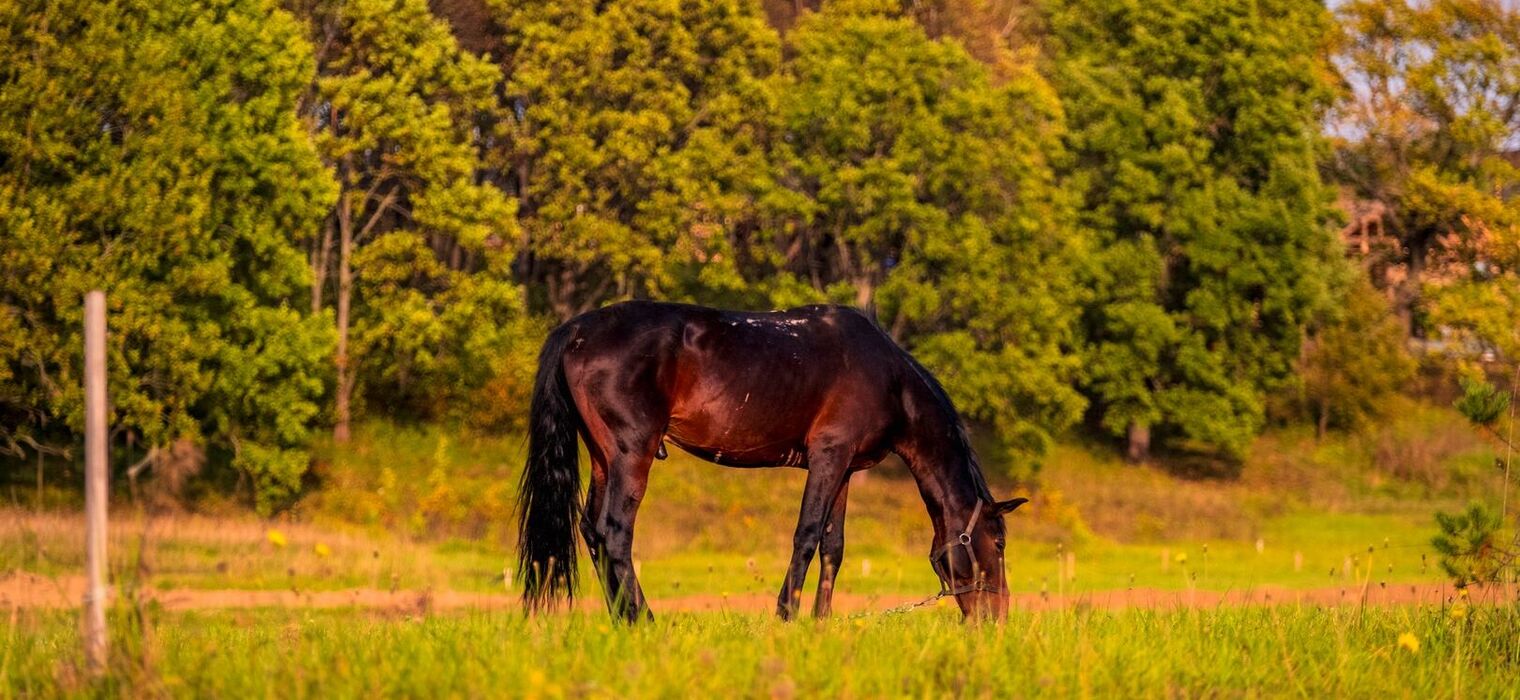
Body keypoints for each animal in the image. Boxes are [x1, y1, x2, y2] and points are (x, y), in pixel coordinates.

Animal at [516, 297, 1027, 619]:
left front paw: (820, 624)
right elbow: (806, 536)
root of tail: (576, 330)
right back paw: (644, 619)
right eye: (999, 543)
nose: (998, 618)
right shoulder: (827, 458)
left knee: (592, 532)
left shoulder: (844, 469)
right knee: (615, 533)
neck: (888, 379)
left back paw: (621, 619)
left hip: (603, 455)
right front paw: (787, 615)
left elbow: (834, 547)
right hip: (631, 453)